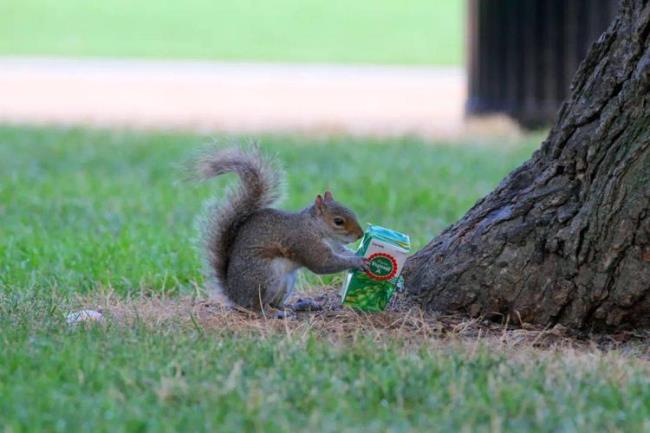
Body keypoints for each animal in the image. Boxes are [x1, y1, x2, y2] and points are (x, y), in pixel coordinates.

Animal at [192, 146, 368, 310]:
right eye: (338, 221)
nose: (360, 235)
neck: (316, 228)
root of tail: (235, 297)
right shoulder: (305, 243)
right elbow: (324, 264)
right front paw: (358, 261)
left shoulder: (335, 245)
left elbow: (343, 252)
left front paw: (359, 256)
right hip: (265, 276)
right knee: (257, 307)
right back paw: (271, 311)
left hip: (287, 282)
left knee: (275, 303)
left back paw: (295, 307)